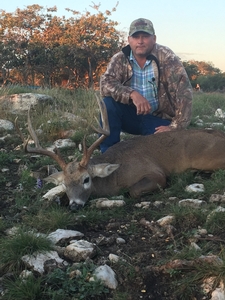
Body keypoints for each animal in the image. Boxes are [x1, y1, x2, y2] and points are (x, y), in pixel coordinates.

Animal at [15, 95, 225, 210]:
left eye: (86, 179)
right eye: (65, 183)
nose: (74, 205)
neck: (115, 177)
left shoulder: (156, 173)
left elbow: (133, 190)